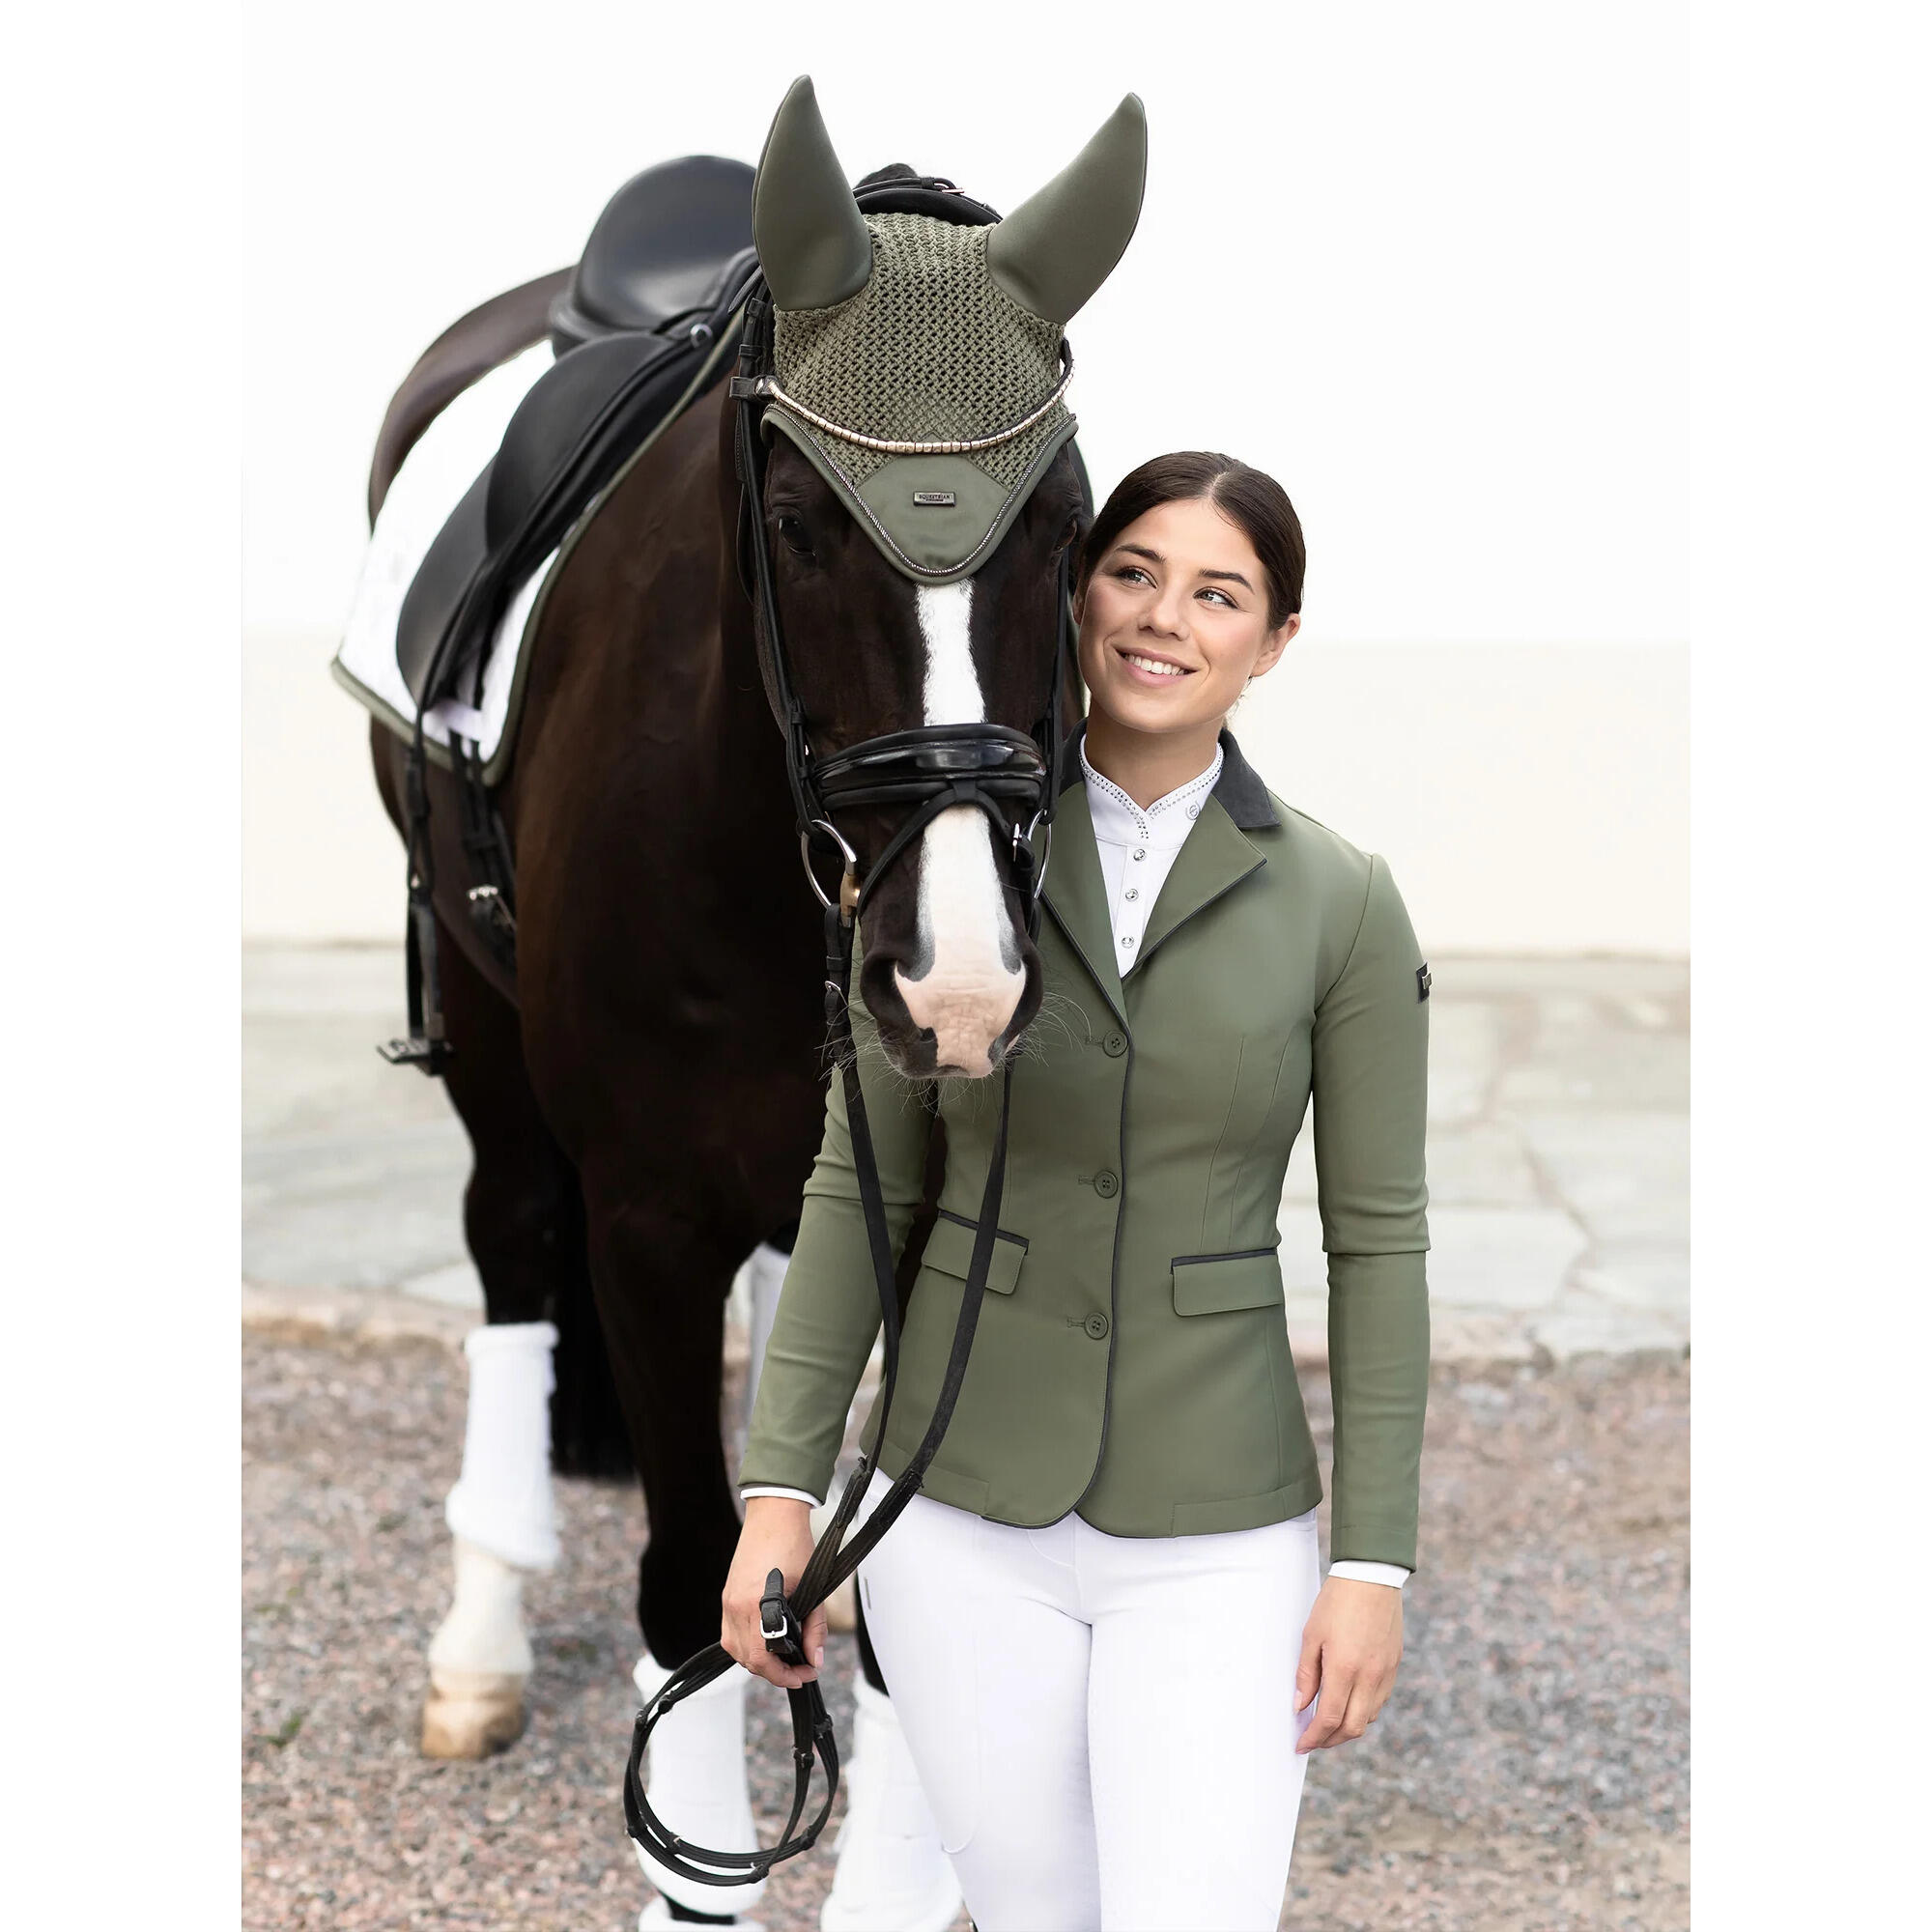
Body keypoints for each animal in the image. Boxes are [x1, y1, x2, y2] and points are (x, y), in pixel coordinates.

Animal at [353, 76, 1145, 1928]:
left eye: (1068, 522)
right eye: (797, 528)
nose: (954, 982)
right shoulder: (645, 1219)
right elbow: (685, 1588)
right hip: (480, 1019)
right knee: (510, 1241)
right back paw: (480, 1641)